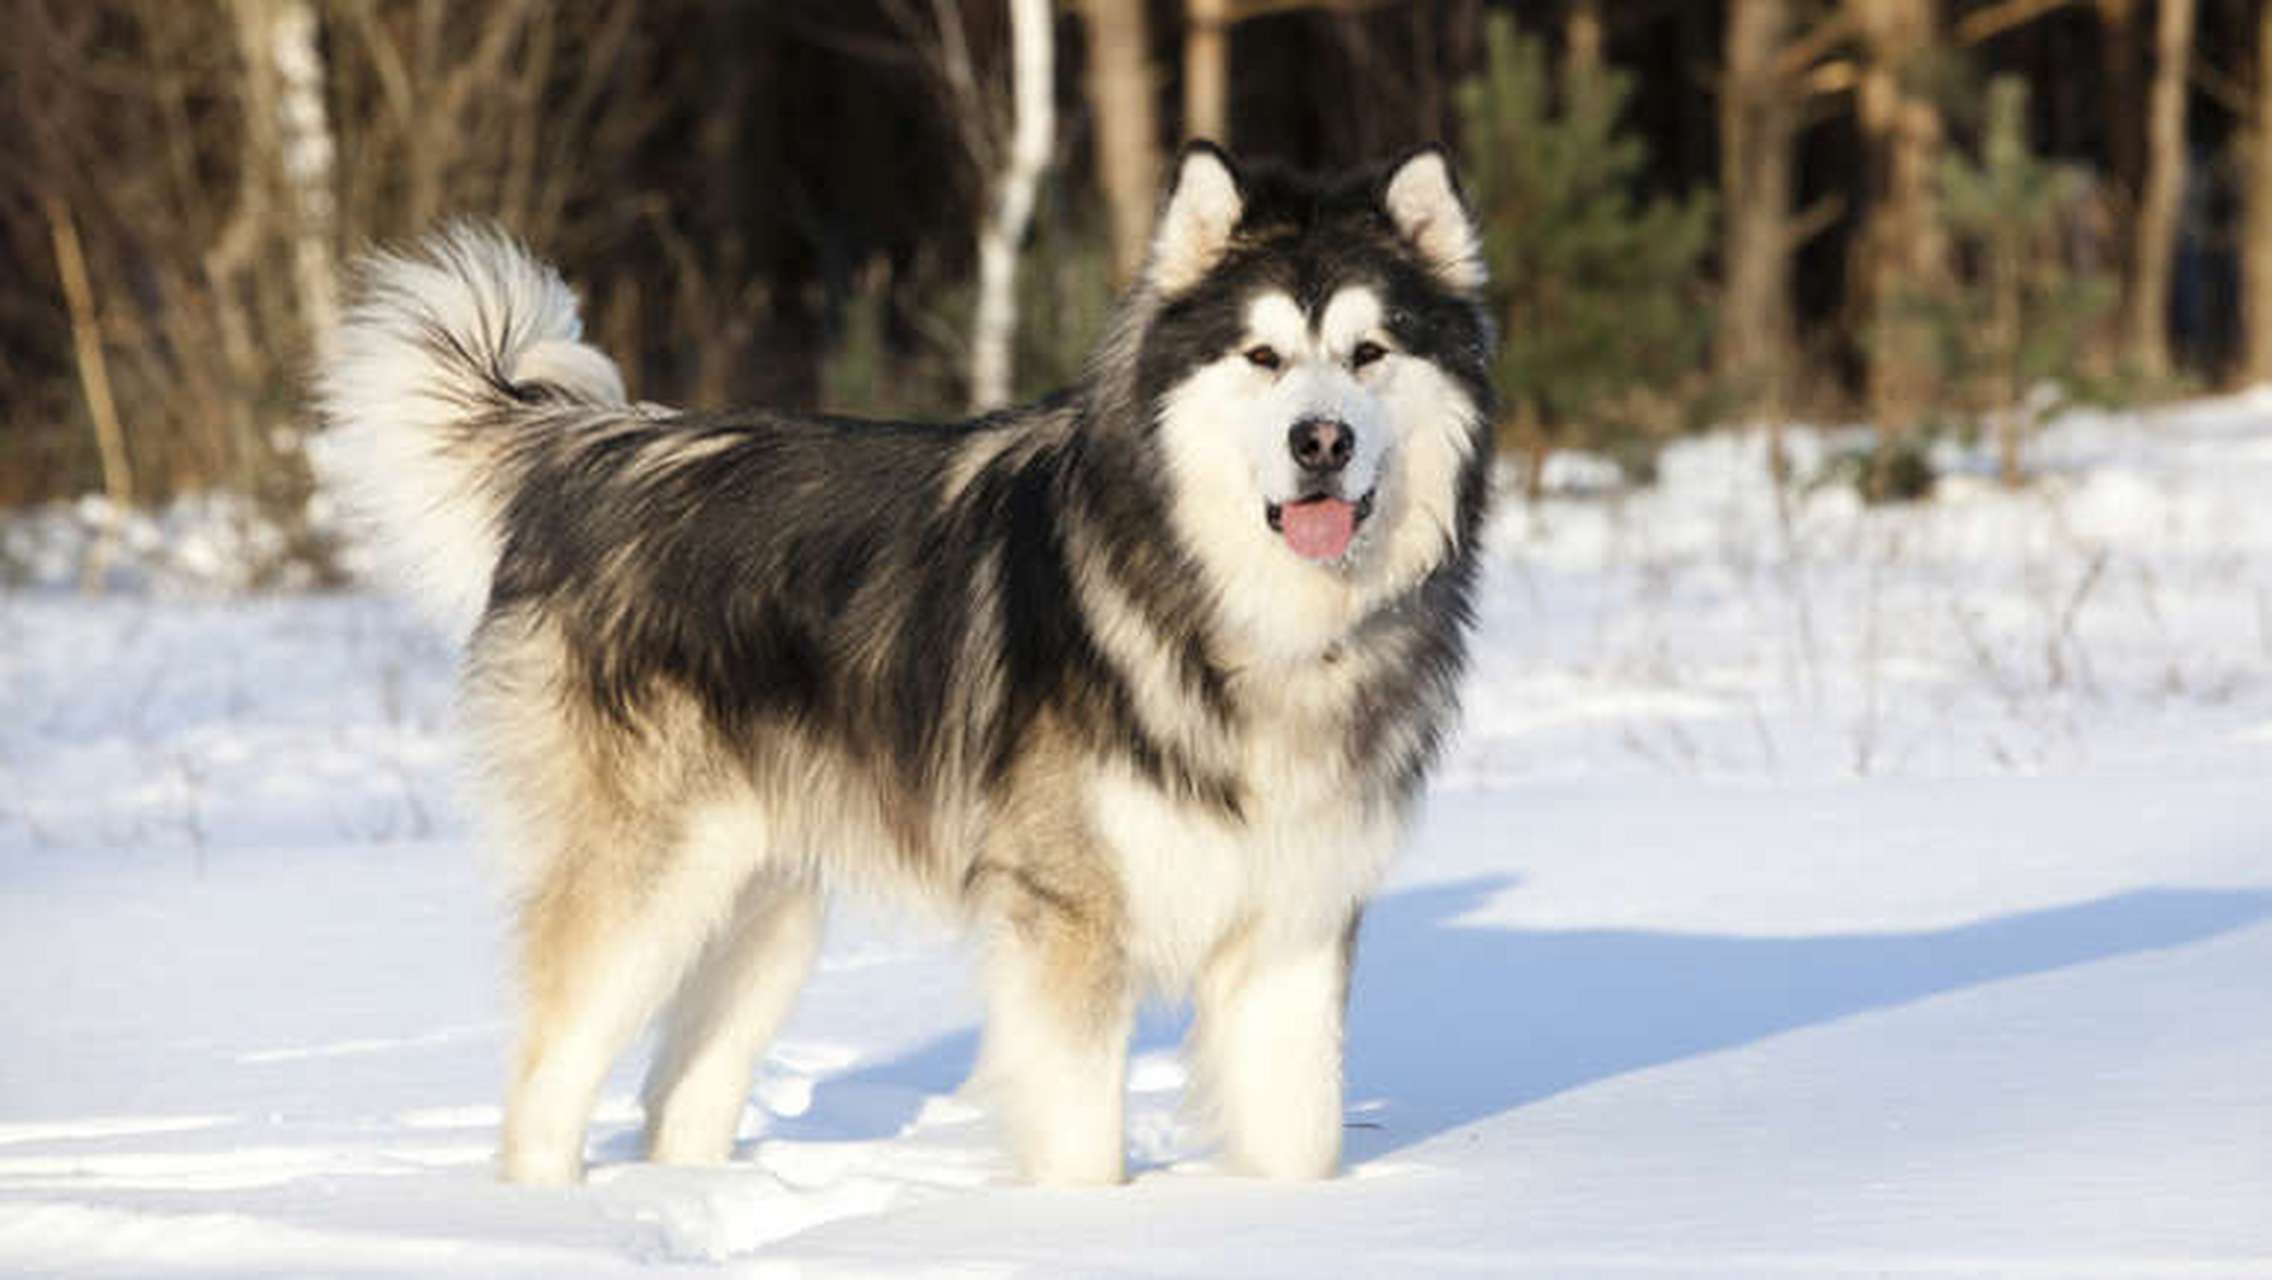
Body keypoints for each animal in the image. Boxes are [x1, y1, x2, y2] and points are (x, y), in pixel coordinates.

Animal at [320, 147, 1490, 1191]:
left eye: (1370, 352)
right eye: (1262, 357)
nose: (1321, 440)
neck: (1248, 614)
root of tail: (595, 453)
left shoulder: (1296, 924)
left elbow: (1301, 1139)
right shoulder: (1066, 918)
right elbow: (1083, 1146)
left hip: (765, 910)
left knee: (678, 1102)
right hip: (644, 887)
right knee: (546, 1088)